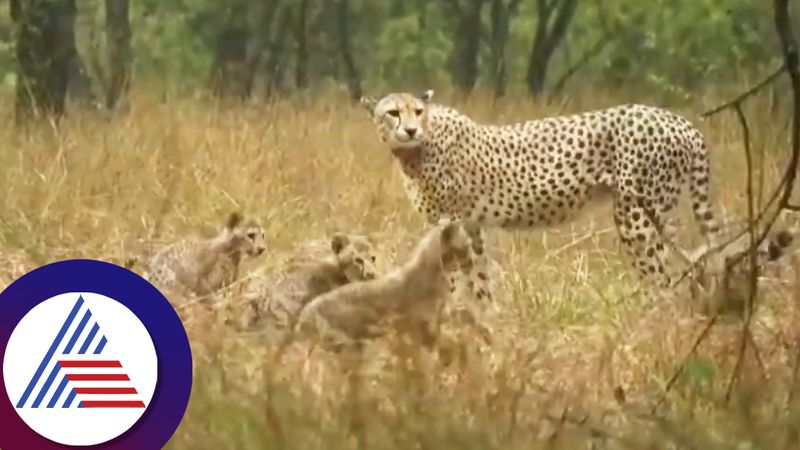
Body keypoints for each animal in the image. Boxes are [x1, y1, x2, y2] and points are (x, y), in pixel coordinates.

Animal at [360, 89, 720, 298]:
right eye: (393, 113)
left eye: (418, 111)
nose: (410, 129)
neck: (418, 148)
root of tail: (679, 121)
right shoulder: (473, 226)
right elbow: (479, 278)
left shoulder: (450, 222)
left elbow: (454, 278)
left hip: (637, 215)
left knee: (662, 276)